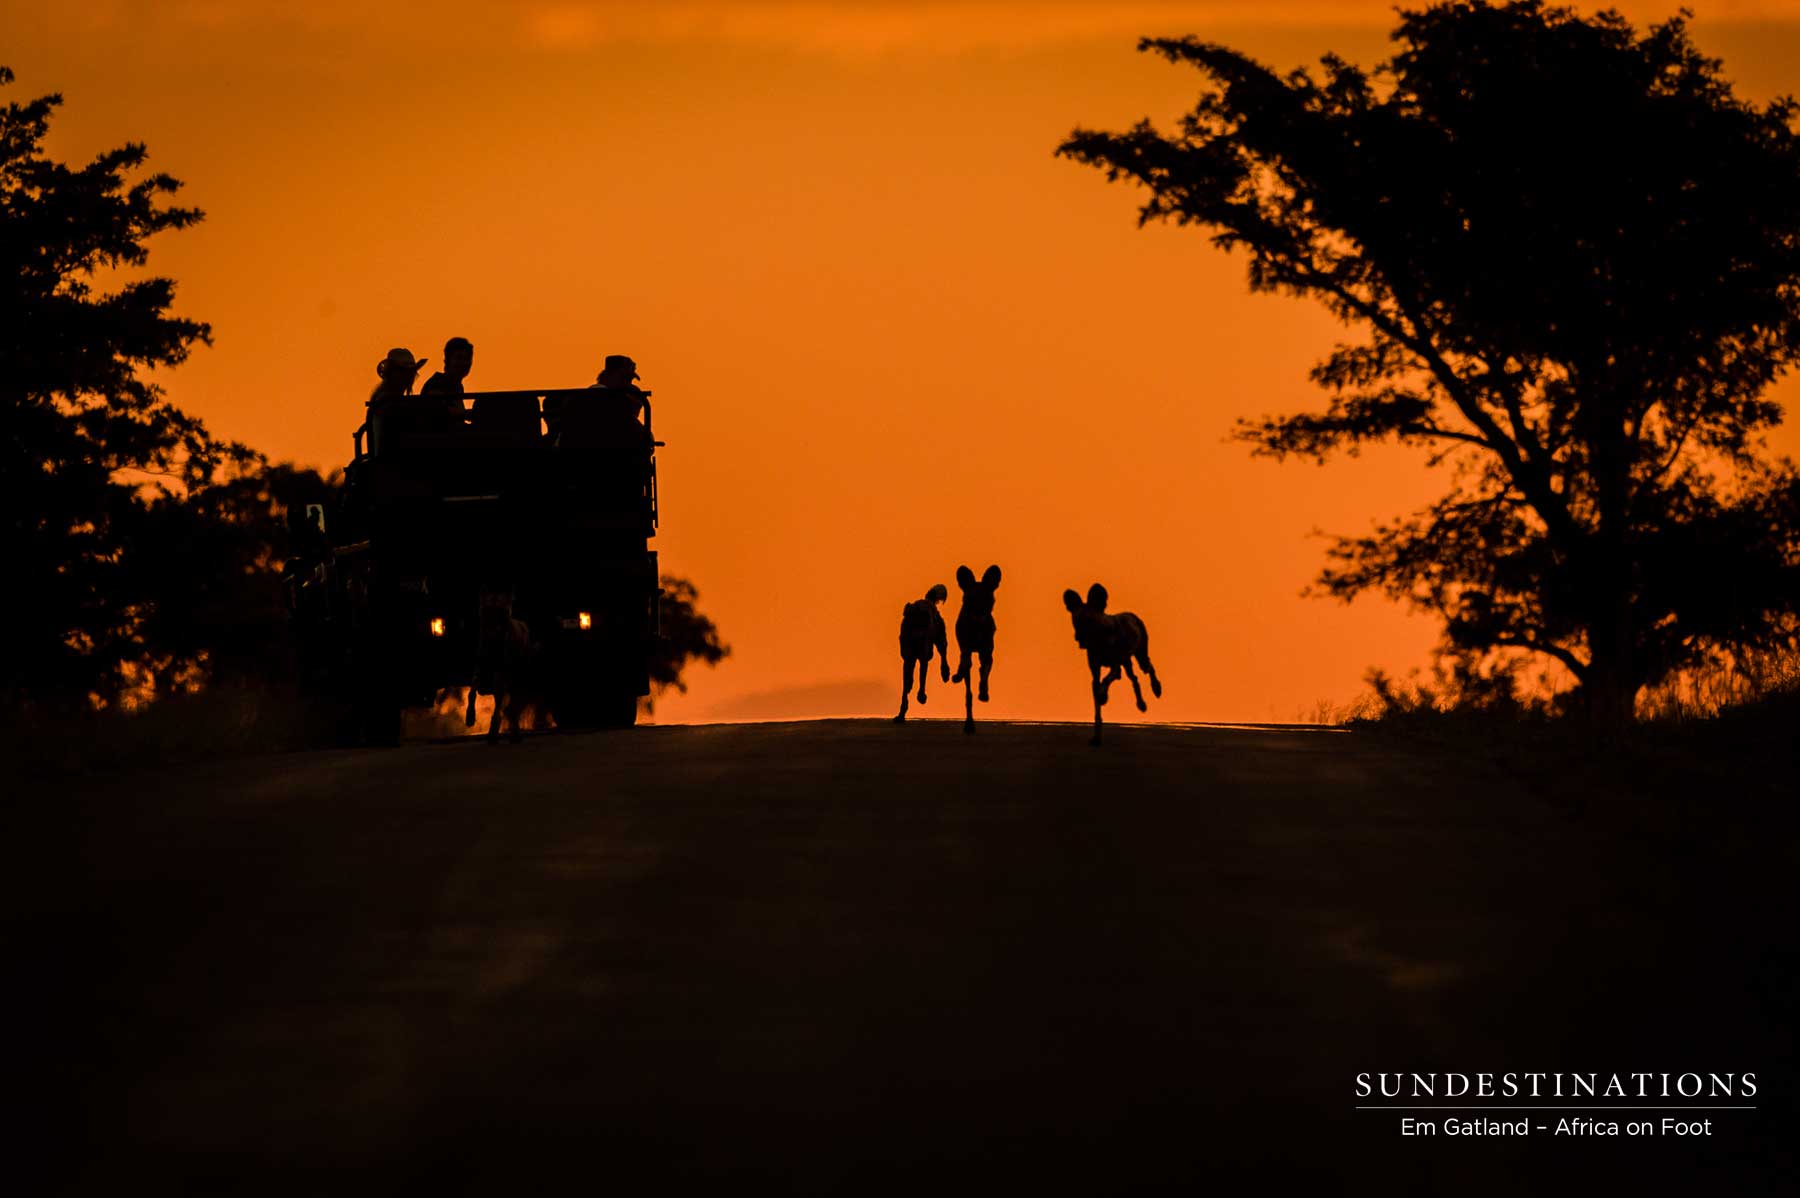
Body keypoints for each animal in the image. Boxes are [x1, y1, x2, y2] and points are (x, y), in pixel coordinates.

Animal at [464, 586, 532, 741]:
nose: (494, 631)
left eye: (503, 612)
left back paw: (514, 733)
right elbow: (471, 692)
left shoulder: (501, 677)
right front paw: (470, 717)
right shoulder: (479, 671)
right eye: (486, 610)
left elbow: (500, 707)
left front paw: (493, 731)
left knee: (514, 705)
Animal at [892, 579, 950, 719]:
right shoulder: (908, 658)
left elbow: (922, 678)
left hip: (939, 641)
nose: (919, 636)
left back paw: (945, 673)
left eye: (924, 624)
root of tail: (927, 600)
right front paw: (901, 713)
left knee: (943, 653)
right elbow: (906, 684)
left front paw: (921, 696)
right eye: (912, 624)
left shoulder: (923, 657)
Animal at [950, 564, 1008, 733]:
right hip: (964, 650)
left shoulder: (986, 653)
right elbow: (968, 694)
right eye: (971, 599)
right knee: (963, 667)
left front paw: (983, 693)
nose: (979, 612)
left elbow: (984, 674)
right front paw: (969, 724)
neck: (977, 627)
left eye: (988, 600)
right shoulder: (967, 651)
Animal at [1058, 579, 1159, 741]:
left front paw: (1103, 697)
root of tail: (1132, 615)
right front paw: (1097, 736)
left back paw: (1156, 688)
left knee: (1149, 668)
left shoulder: (1115, 669)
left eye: (1090, 621)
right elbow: (1097, 709)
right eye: (1076, 621)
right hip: (1127, 663)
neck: (1100, 640)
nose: (1079, 637)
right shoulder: (1095, 674)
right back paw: (1141, 704)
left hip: (1140, 658)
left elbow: (1105, 683)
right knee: (1134, 678)